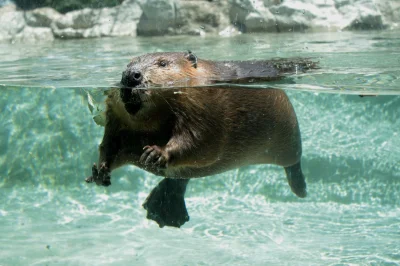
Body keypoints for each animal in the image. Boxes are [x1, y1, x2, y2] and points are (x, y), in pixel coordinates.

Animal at [86, 51, 318, 228]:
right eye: (127, 64)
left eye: (163, 63)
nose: (130, 76)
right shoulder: (117, 120)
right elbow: (111, 144)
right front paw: (99, 171)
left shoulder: (205, 106)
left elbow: (198, 140)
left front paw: (154, 154)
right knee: (178, 179)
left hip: (288, 139)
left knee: (293, 163)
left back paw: (301, 189)